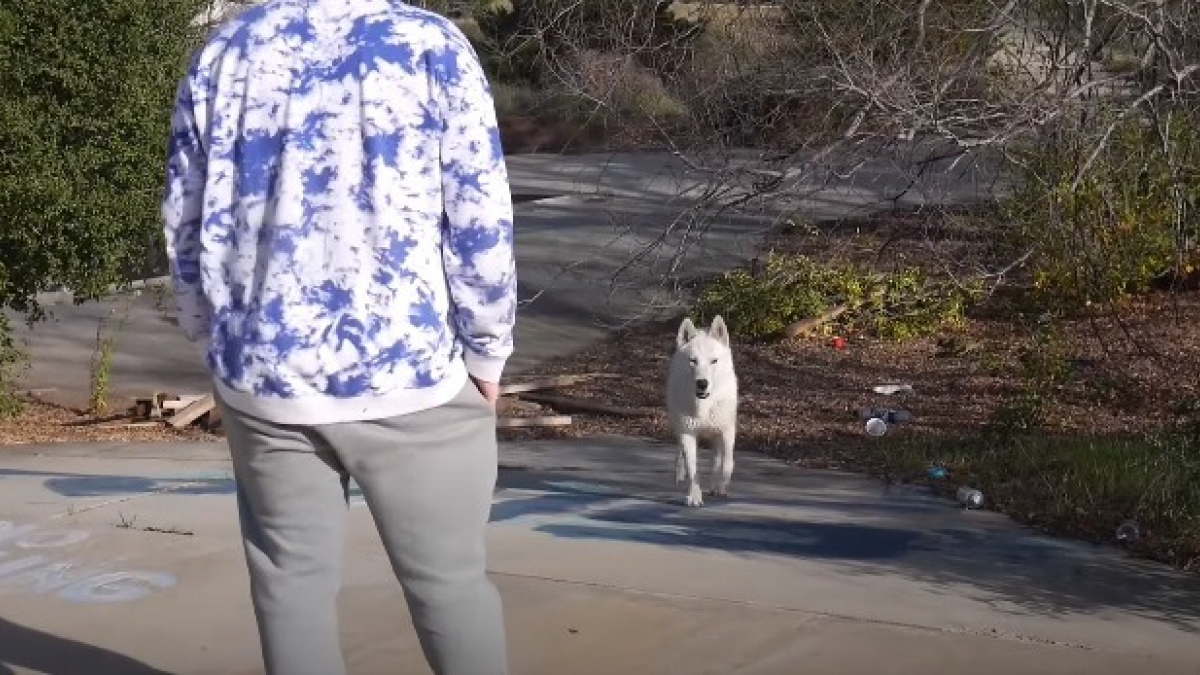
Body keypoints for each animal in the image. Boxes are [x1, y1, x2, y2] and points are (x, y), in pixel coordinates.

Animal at [667, 314, 739, 504]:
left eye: (714, 361)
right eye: (693, 361)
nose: (702, 383)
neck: (705, 405)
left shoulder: (727, 431)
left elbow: (727, 463)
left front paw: (722, 486)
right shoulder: (688, 433)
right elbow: (693, 468)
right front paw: (694, 497)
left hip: (716, 435)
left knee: (717, 459)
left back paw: (715, 487)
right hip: (678, 426)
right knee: (680, 452)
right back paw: (678, 474)